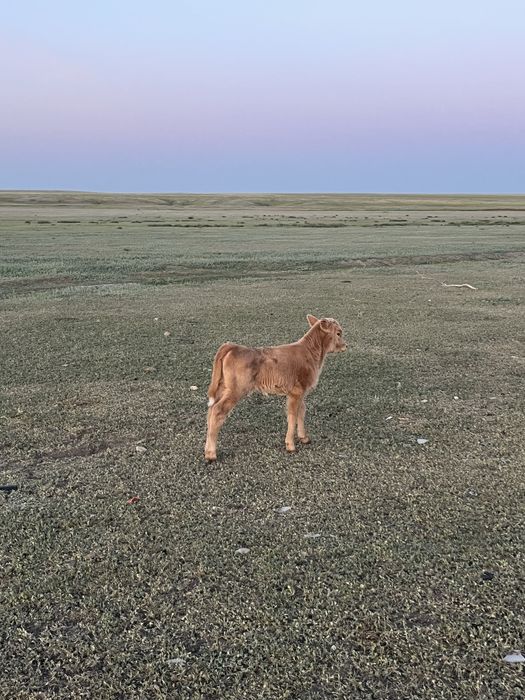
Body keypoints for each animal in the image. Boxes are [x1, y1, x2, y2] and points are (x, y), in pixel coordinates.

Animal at [204, 314, 347, 462]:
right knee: (217, 410)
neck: (312, 353)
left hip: (223, 387)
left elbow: (301, 412)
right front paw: (290, 445)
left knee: (210, 410)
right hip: (236, 389)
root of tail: (233, 346)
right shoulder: (296, 392)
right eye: (338, 333)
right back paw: (211, 453)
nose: (345, 345)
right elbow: (292, 416)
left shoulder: (301, 392)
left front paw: (304, 438)